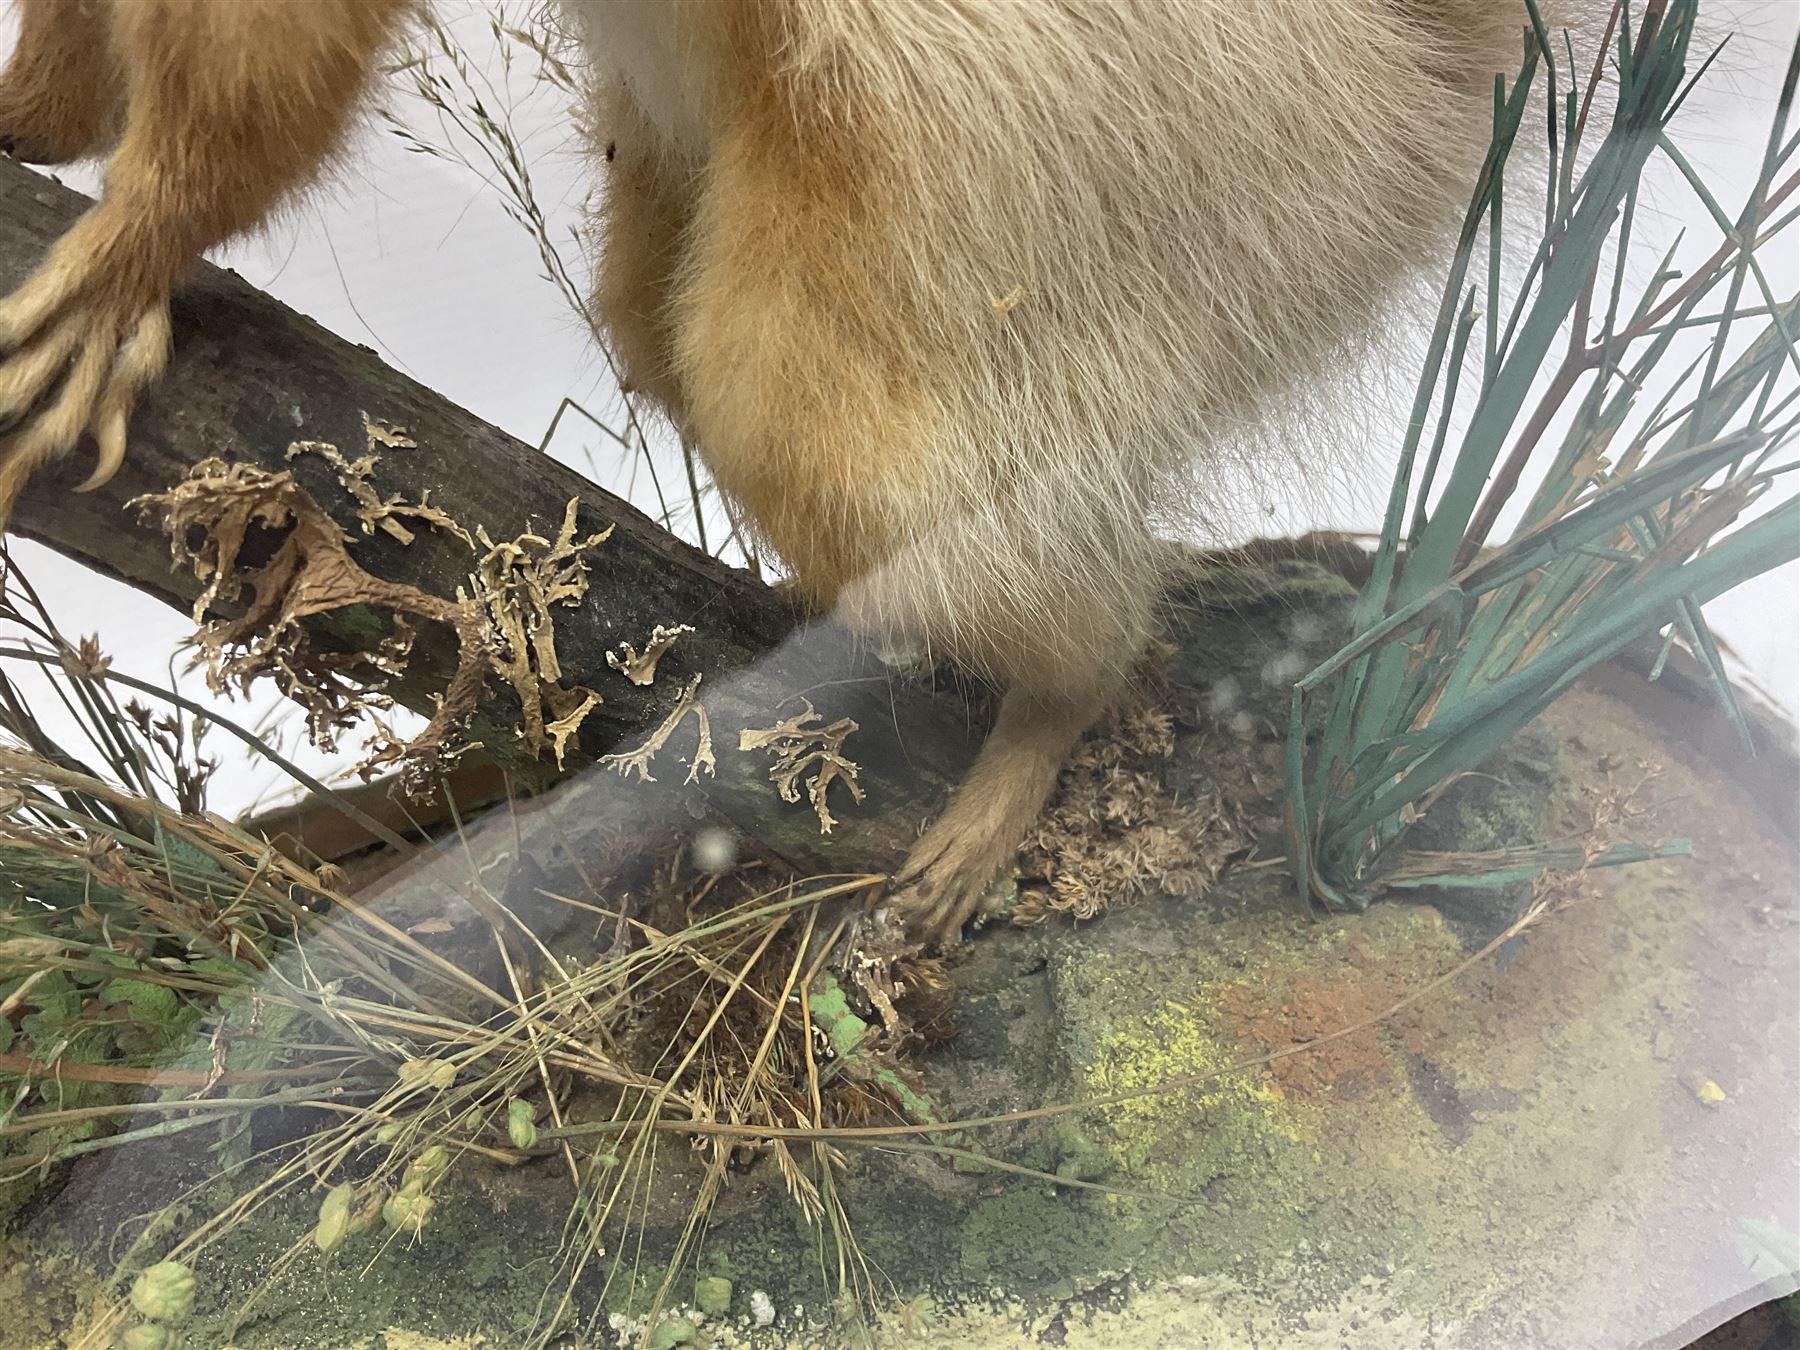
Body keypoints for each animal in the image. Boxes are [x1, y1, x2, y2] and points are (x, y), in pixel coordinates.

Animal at [0, 0, 1583, 944]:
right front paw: (36, 118)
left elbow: (245, 84)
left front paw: (119, 257)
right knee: (658, 338)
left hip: (1012, 175)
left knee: (930, 493)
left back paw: (1023, 745)